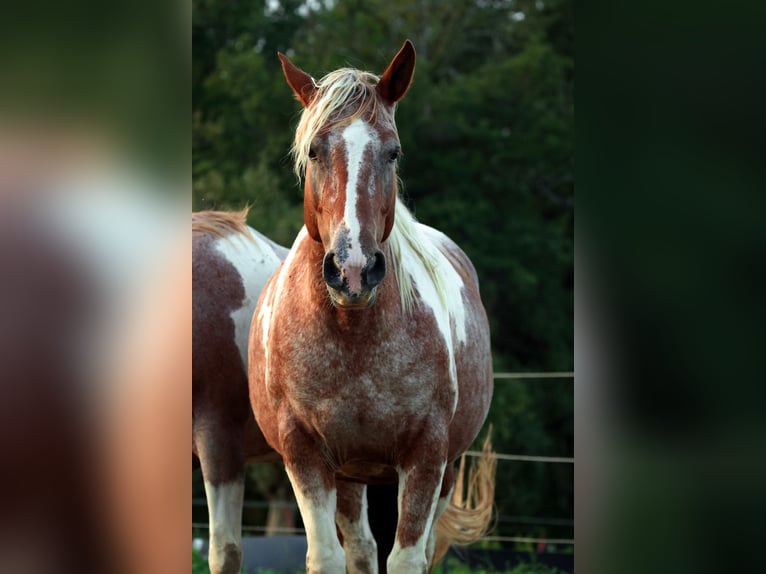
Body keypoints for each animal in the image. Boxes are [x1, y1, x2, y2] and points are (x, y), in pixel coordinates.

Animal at [249, 40, 496, 574]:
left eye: (393, 151)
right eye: (314, 150)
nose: (354, 269)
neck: (353, 333)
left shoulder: (427, 457)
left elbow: (406, 558)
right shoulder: (305, 454)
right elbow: (328, 556)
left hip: (443, 474)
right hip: (348, 475)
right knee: (360, 548)